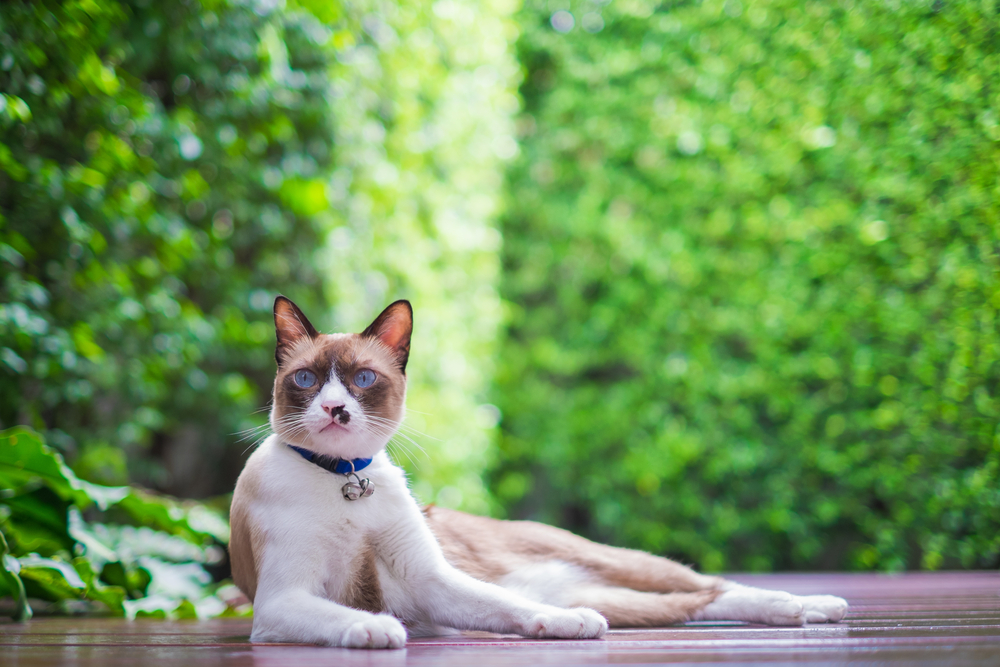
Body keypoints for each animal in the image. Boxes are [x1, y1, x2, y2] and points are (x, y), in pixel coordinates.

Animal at [230, 296, 848, 648]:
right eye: (307, 380)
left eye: (361, 379)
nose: (335, 410)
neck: (346, 479)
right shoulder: (284, 601)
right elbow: (341, 615)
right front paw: (377, 628)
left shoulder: (430, 581)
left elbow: (510, 608)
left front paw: (568, 625)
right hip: (623, 599)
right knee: (691, 604)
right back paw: (805, 608)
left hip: (619, 563)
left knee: (707, 586)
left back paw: (814, 605)